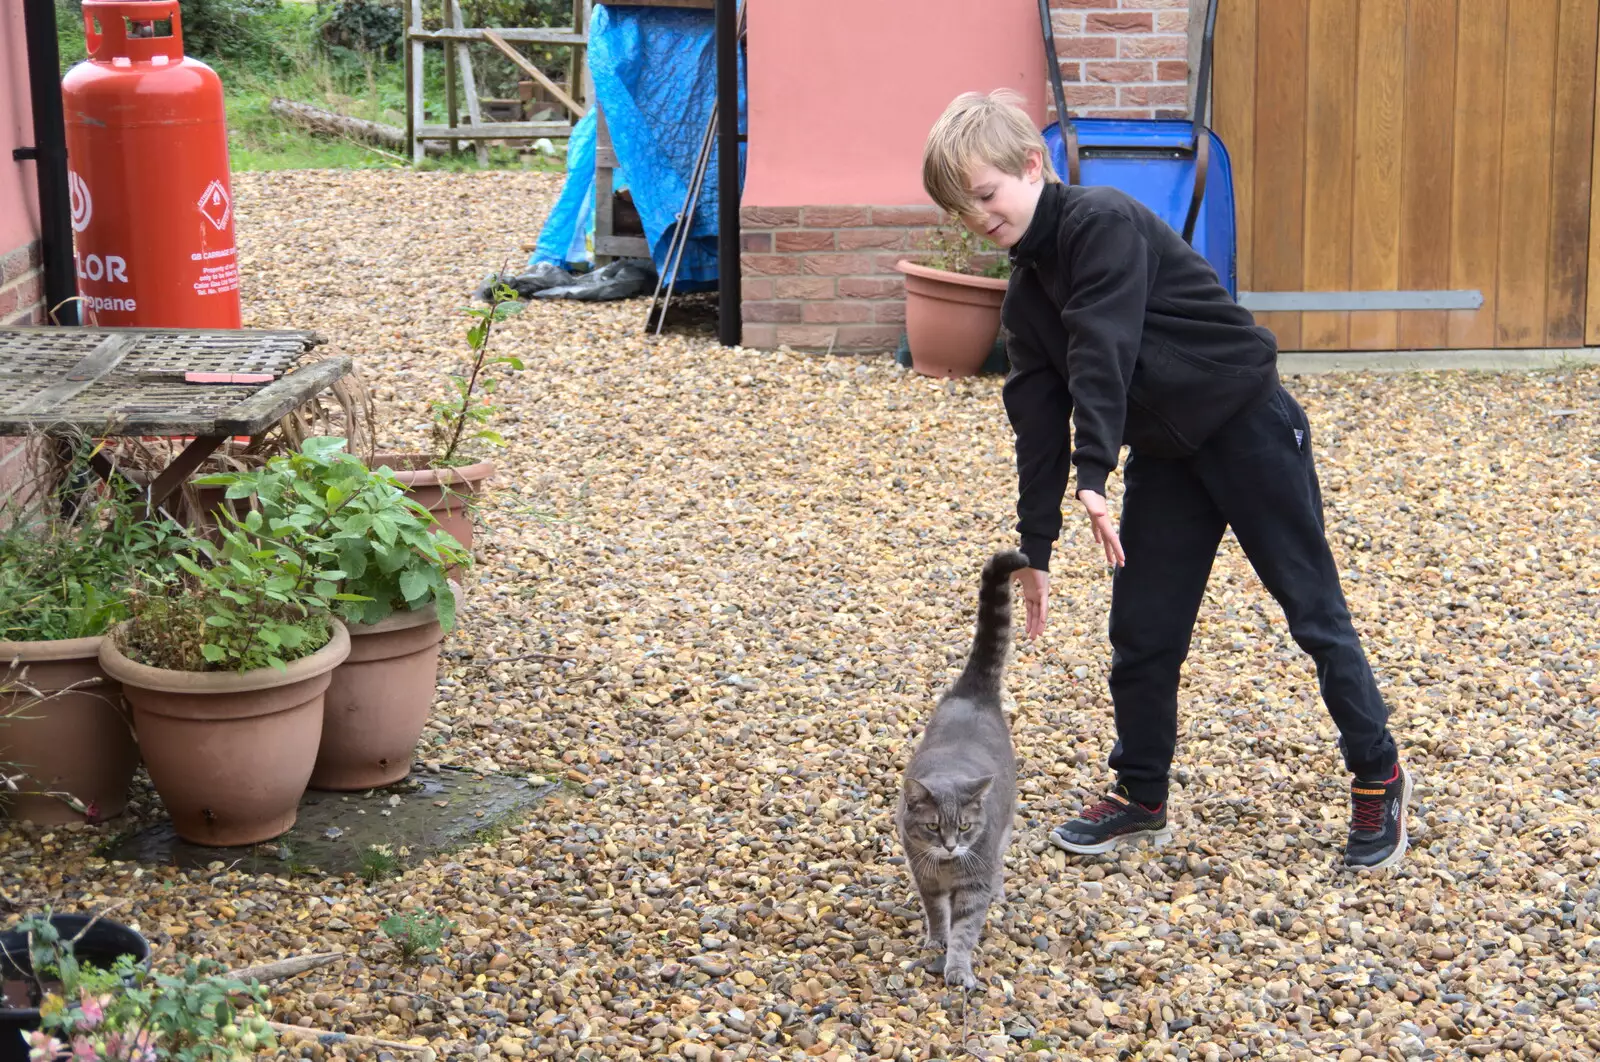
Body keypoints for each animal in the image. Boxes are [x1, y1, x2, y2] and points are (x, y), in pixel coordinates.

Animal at [902, 546, 1024, 985]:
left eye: (966, 827)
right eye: (933, 827)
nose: (952, 846)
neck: (947, 869)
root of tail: (973, 691)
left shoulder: (973, 884)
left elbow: (966, 927)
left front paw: (957, 967)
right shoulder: (925, 877)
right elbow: (938, 914)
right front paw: (936, 940)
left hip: (1004, 830)